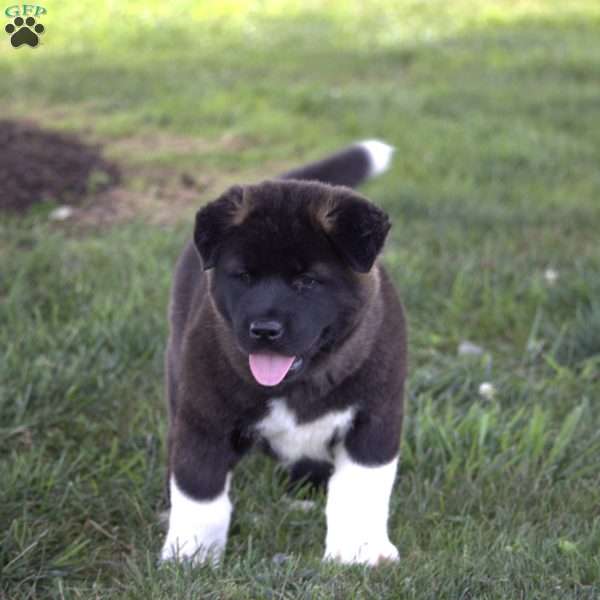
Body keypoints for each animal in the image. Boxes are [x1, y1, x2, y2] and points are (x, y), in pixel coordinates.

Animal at [161, 142, 408, 568]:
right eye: (243, 276)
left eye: (306, 281)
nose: (264, 330)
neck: (302, 383)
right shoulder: (203, 418)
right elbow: (200, 494)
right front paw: (189, 557)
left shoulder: (376, 416)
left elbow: (360, 489)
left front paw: (357, 551)